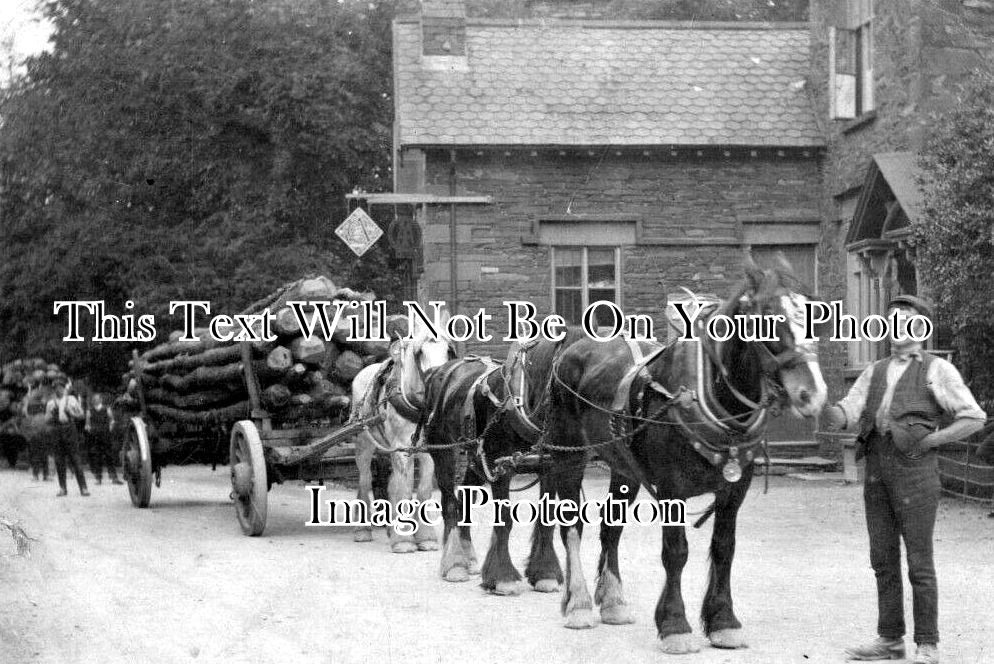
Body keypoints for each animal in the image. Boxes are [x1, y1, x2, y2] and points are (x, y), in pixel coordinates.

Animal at [348, 314, 454, 552]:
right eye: (420, 352)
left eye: (449, 349)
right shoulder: (402, 448)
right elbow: (405, 488)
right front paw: (404, 541)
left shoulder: (428, 450)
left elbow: (422, 489)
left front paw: (425, 538)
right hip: (364, 441)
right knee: (365, 479)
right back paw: (362, 530)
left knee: (390, 482)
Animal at [420, 330, 588, 592]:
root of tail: (440, 370)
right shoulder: (498, 465)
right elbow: (505, 520)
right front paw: (502, 577)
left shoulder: (549, 467)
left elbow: (547, 519)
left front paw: (545, 573)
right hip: (443, 451)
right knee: (449, 502)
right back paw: (455, 563)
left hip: (474, 458)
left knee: (464, 498)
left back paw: (467, 557)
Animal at [544, 260, 820, 652]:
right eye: (768, 317)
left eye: (815, 316)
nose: (812, 392)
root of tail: (574, 346)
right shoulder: (671, 486)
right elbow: (675, 552)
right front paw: (675, 624)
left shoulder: (735, 489)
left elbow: (724, 548)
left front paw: (723, 621)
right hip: (569, 456)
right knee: (571, 527)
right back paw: (578, 605)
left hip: (624, 469)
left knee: (611, 530)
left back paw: (613, 602)